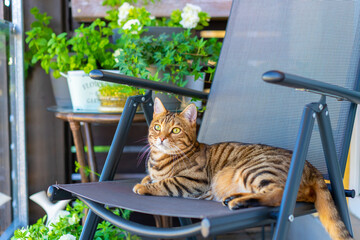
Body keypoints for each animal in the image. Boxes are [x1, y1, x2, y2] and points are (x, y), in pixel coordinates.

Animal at [132, 97, 352, 240]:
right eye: (157, 127)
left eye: (176, 130)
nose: (161, 139)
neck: (159, 160)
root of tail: (310, 165)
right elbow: (149, 177)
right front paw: (145, 180)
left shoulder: (193, 182)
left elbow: (165, 183)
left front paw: (144, 187)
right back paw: (235, 198)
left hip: (255, 170)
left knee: (277, 195)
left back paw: (238, 202)